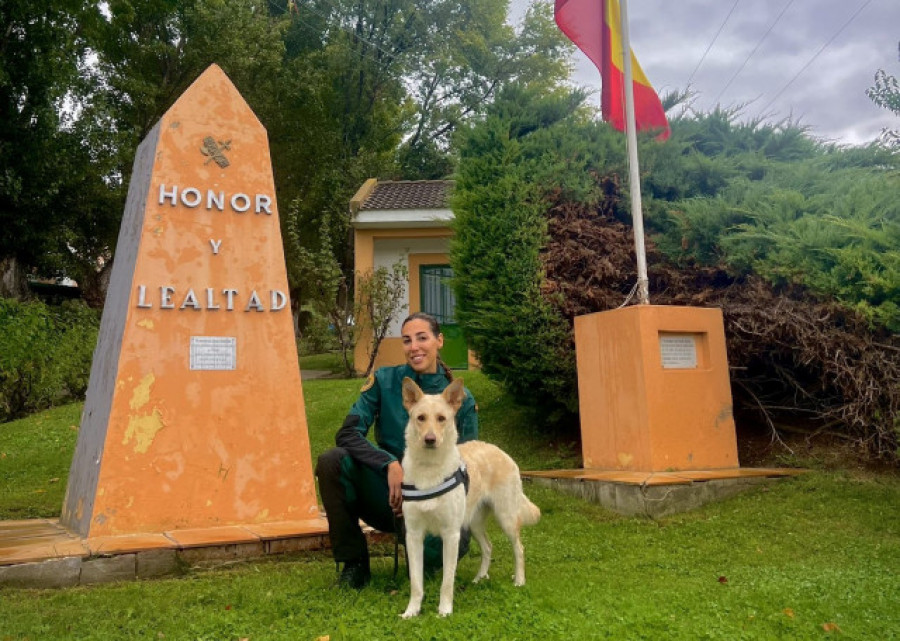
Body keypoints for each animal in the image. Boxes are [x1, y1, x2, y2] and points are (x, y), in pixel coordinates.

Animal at [398, 378, 536, 616]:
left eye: (442, 418)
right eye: (421, 418)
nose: (430, 439)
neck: (429, 469)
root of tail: (499, 450)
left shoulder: (450, 534)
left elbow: (447, 581)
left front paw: (444, 611)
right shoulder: (414, 535)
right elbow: (416, 582)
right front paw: (412, 612)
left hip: (506, 518)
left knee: (519, 548)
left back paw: (519, 580)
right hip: (473, 523)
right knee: (488, 546)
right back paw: (480, 578)